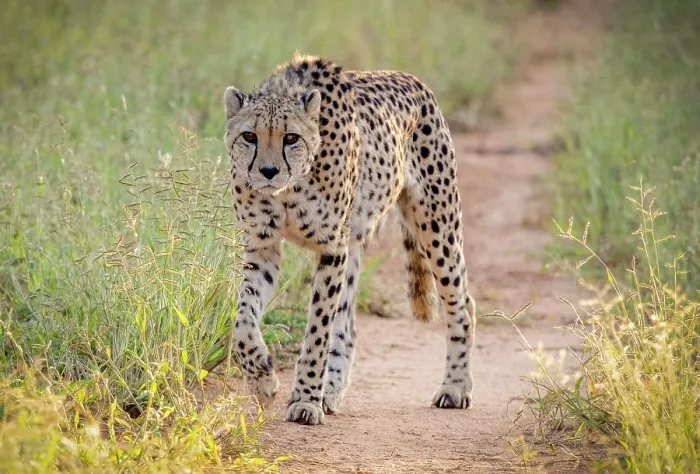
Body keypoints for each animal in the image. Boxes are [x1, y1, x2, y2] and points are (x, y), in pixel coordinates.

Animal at [223, 53, 476, 425]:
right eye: (249, 136)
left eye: (291, 138)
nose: (268, 171)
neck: (288, 190)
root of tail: (413, 79)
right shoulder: (262, 246)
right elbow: (242, 321)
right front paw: (263, 378)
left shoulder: (331, 248)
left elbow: (317, 331)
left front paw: (305, 400)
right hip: (356, 245)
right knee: (348, 328)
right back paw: (330, 392)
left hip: (436, 224)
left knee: (462, 303)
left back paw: (456, 387)